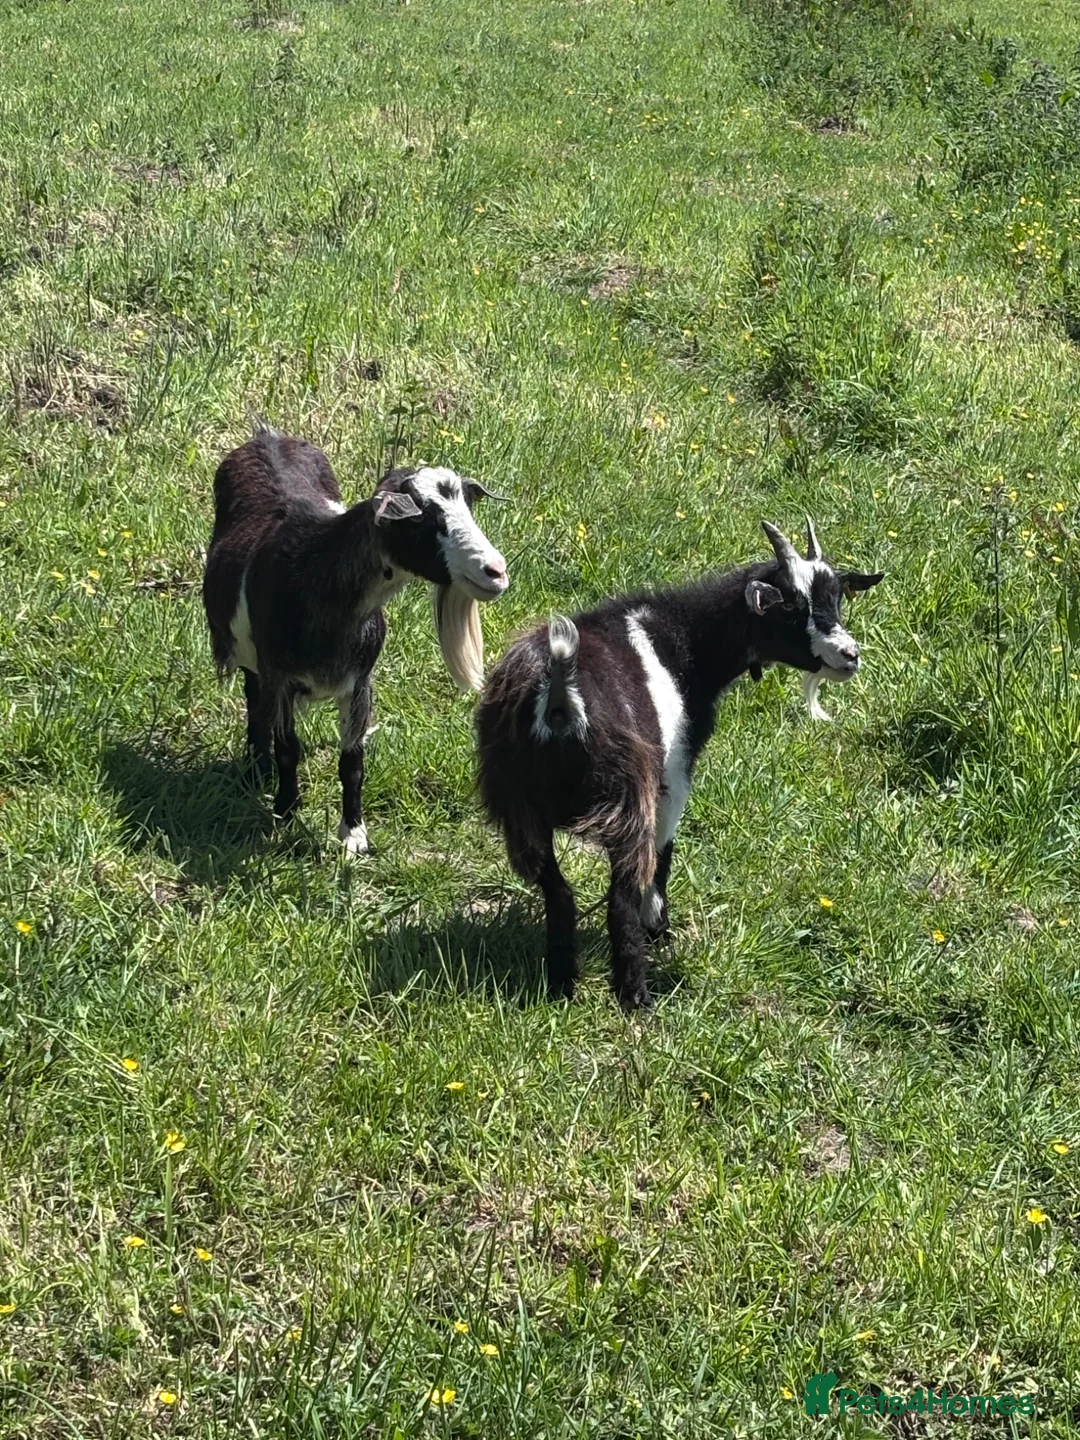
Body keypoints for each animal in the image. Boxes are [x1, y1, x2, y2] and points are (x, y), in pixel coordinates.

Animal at [203, 422, 509, 852]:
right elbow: (288, 749)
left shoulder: (360, 681)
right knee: (253, 698)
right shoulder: (280, 676)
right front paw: (285, 811)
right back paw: (256, 768)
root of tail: (266, 434)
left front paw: (354, 836)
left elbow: (352, 760)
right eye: (425, 520)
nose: (495, 571)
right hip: (253, 659)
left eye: (468, 507)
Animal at [476, 519, 882, 1010]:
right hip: (626, 798)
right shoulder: (672, 778)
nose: (849, 655)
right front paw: (659, 930)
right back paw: (636, 995)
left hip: (520, 806)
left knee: (558, 892)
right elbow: (663, 857)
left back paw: (561, 985)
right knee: (620, 895)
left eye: (836, 597)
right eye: (790, 606)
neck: (681, 644)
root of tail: (558, 692)